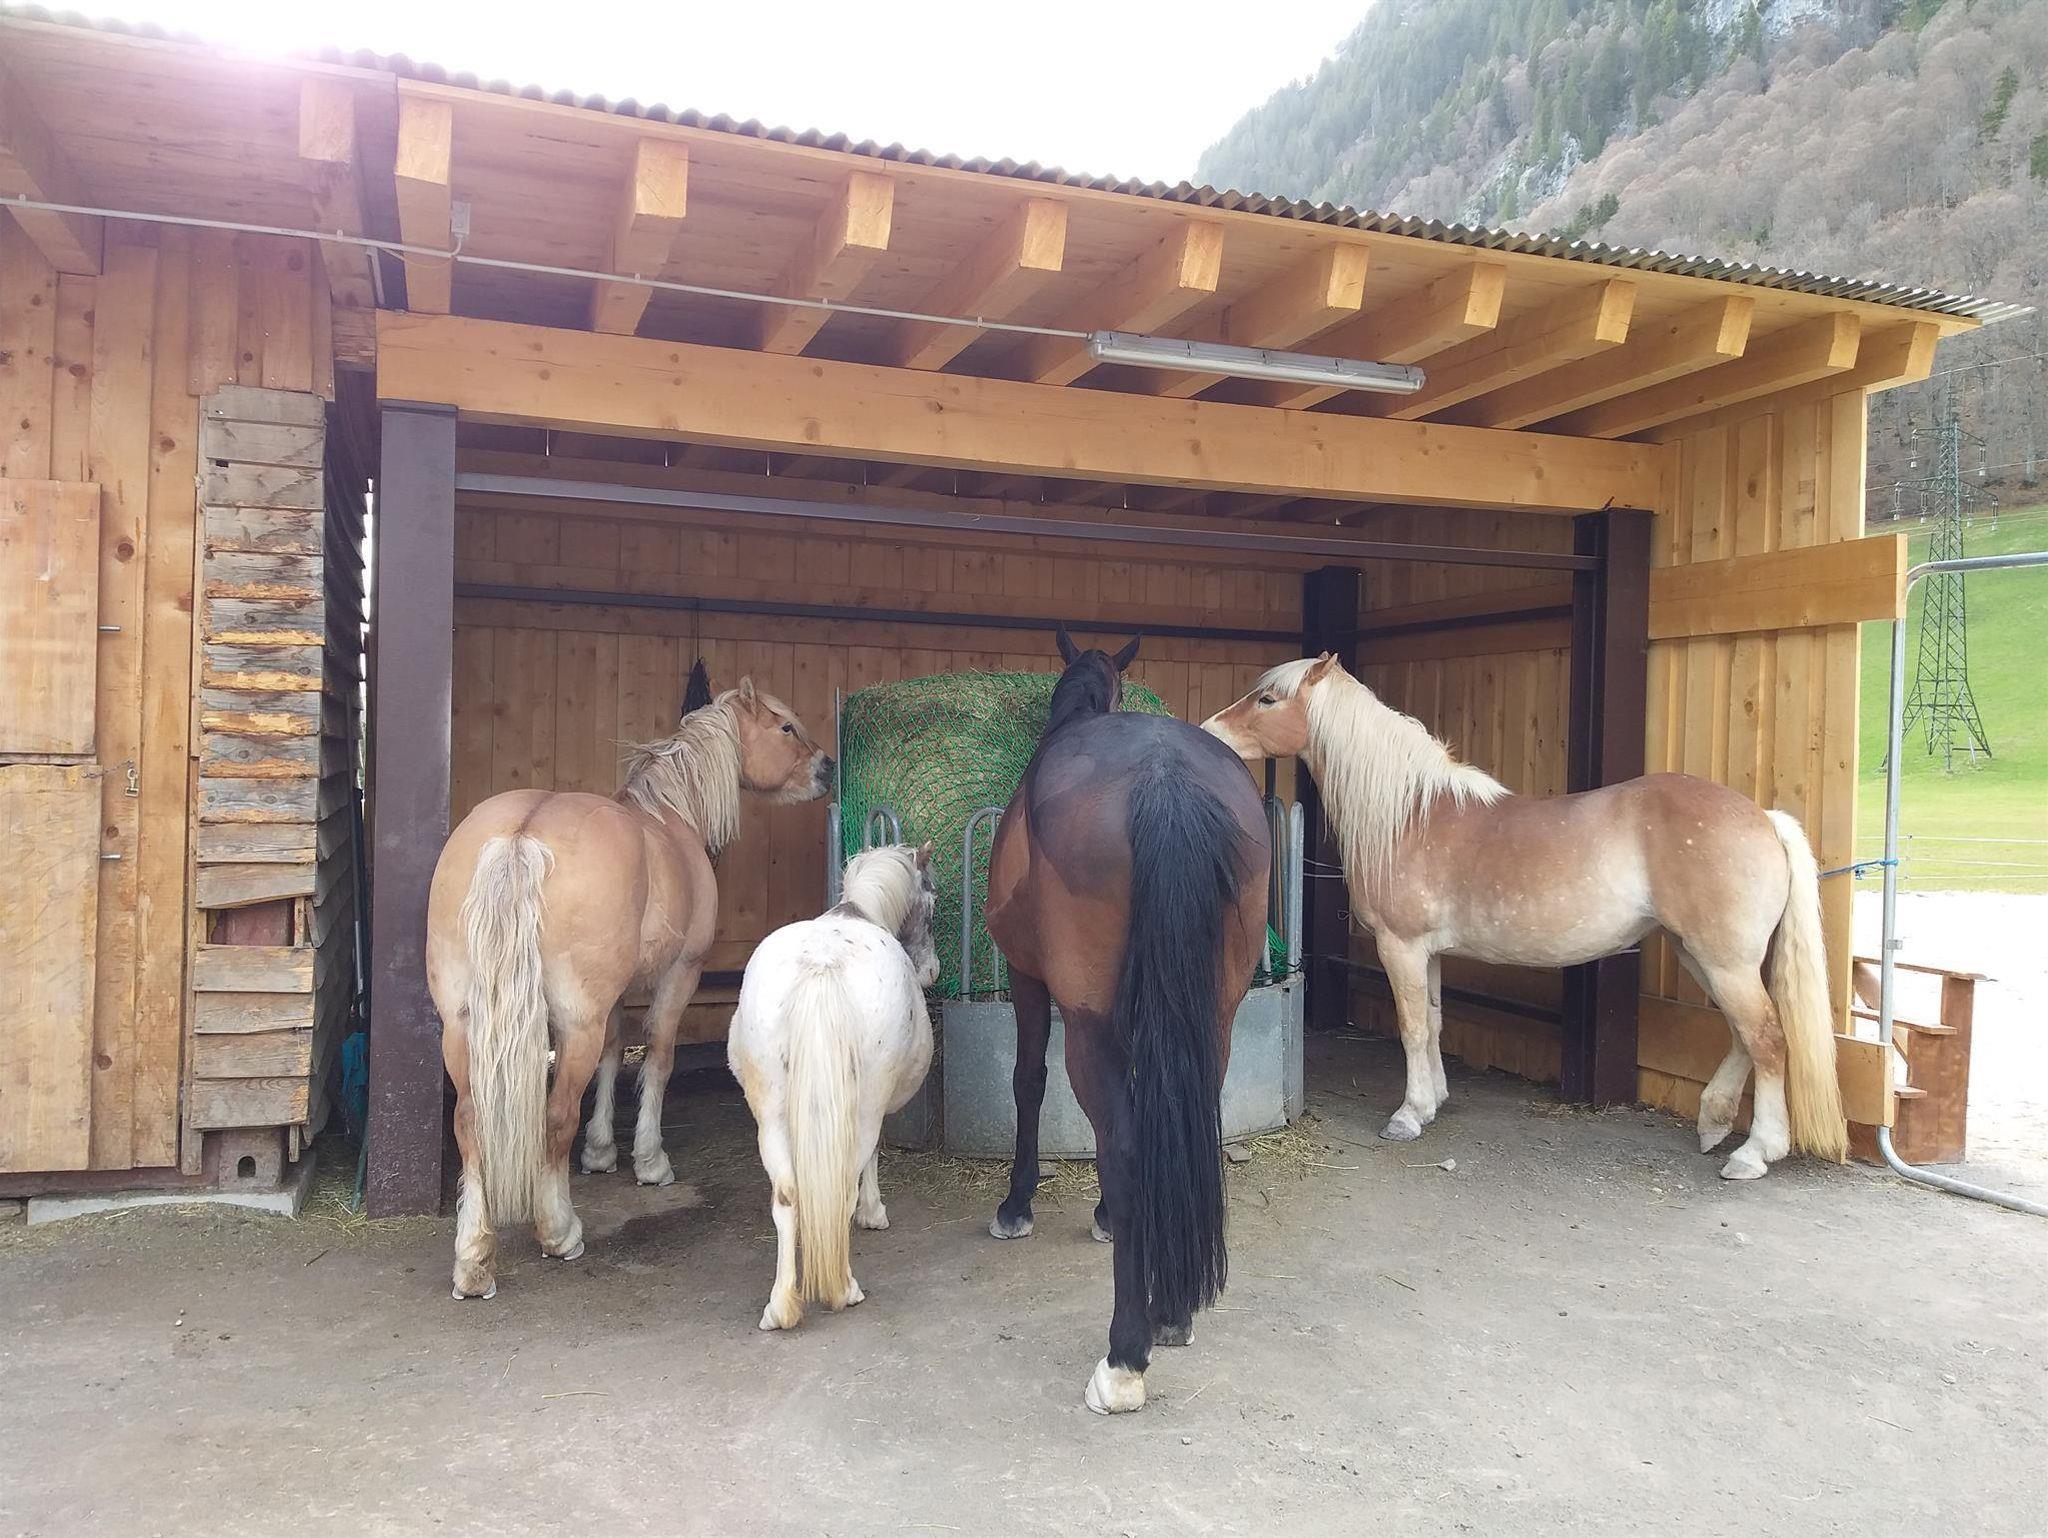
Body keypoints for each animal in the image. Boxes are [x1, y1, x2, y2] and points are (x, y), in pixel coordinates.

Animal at [425, 676, 832, 1299]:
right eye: (786, 726)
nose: (825, 768)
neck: (671, 818)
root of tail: (521, 836)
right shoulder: (678, 974)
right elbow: (658, 1057)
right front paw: (648, 1160)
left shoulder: (612, 999)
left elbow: (616, 1055)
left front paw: (600, 1151)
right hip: (572, 1024)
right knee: (554, 1116)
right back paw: (559, 1231)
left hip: (463, 1025)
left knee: (470, 1119)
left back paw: (473, 1258)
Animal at [727, 843, 939, 1332]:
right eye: (933, 909)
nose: (933, 972)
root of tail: (822, 967)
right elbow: (876, 1153)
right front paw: (873, 1213)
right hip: (863, 1106)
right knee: (841, 1184)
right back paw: (844, 1288)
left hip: (771, 1114)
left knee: (787, 1195)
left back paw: (780, 1307)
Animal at [983, 627, 1270, 1415]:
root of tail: (1164, 778)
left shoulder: (1031, 980)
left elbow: (1027, 1082)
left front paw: (1019, 1203)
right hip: (1215, 1018)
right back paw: (1171, 1310)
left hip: (1088, 1023)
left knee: (1128, 1144)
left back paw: (1125, 1354)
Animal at [1201, 654, 1846, 1180]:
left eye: (1267, 699)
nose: (1210, 733)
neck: (1411, 815)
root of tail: (1764, 818)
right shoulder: (1428, 953)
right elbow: (1434, 1023)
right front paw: (1432, 1102)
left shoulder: (1400, 946)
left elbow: (1411, 1028)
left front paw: (1408, 1116)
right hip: (1704, 956)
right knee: (1745, 1035)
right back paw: (1714, 1124)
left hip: (1724, 960)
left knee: (1767, 1038)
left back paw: (1755, 1153)